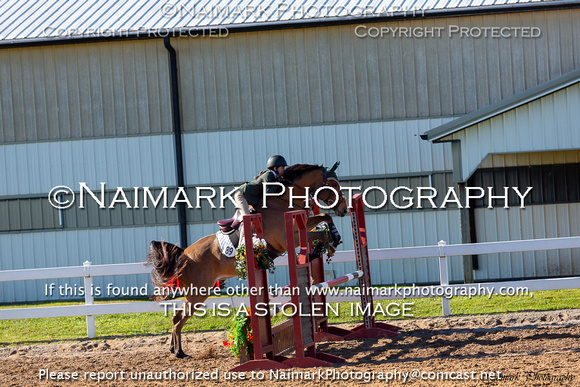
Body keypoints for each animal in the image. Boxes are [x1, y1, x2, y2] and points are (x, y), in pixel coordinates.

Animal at [147, 163, 352, 358]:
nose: (344, 209)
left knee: (176, 317)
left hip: (198, 292)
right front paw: (321, 248)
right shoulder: (289, 239)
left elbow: (324, 217)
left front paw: (333, 239)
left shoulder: (301, 225)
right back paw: (179, 352)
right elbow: (320, 232)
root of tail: (184, 255)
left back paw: (174, 350)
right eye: (333, 184)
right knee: (178, 319)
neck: (283, 200)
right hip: (197, 292)